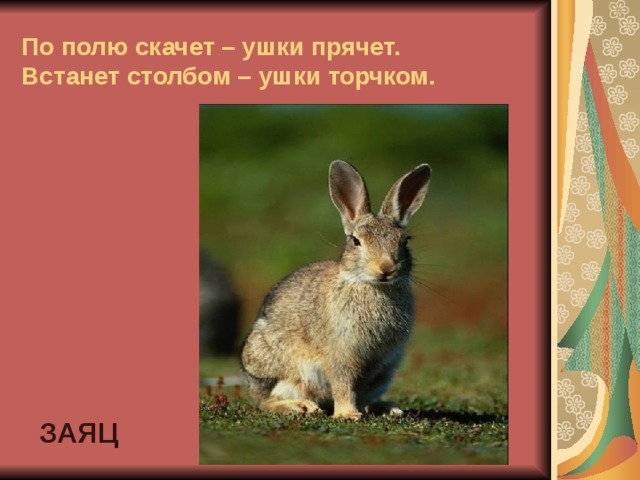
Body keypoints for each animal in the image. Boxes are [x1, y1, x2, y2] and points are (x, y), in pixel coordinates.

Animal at [241, 160, 431, 420]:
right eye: (356, 241)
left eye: (405, 241)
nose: (386, 268)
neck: (370, 286)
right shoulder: (340, 354)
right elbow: (343, 383)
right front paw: (348, 415)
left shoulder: (377, 363)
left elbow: (359, 388)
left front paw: (358, 411)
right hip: (276, 365)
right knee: (266, 402)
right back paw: (300, 406)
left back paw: (387, 408)